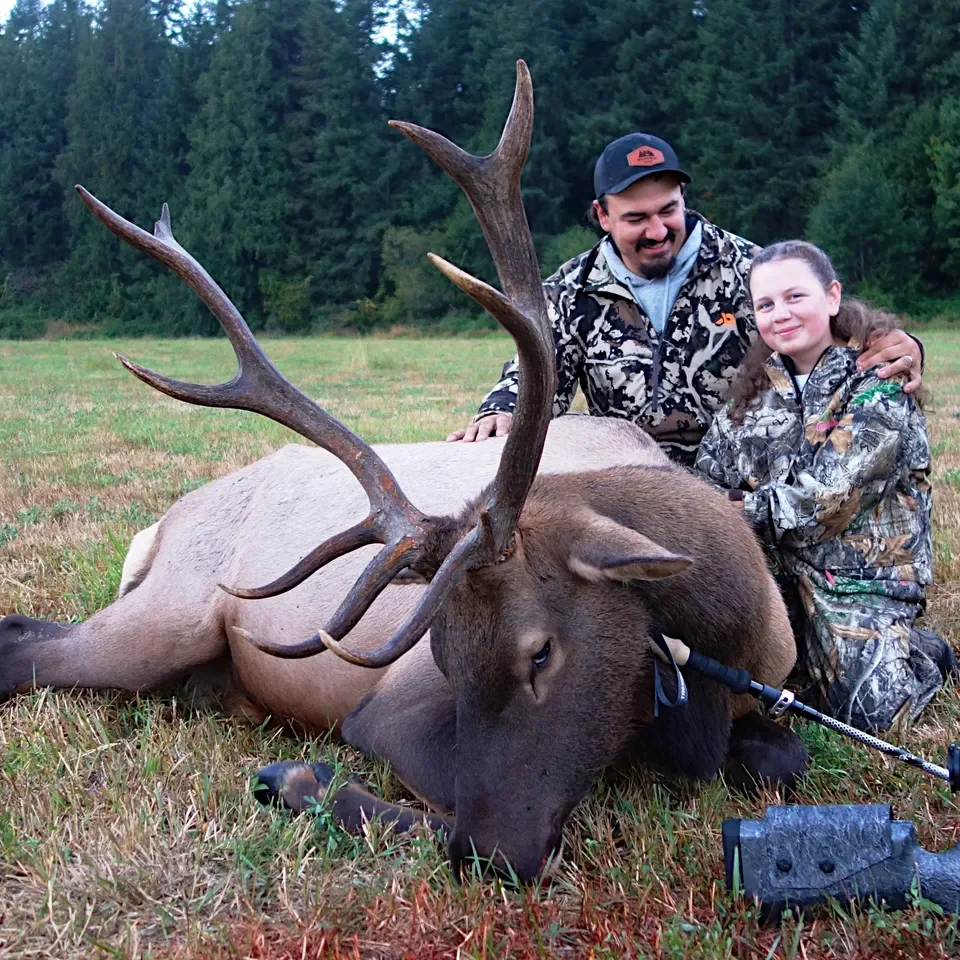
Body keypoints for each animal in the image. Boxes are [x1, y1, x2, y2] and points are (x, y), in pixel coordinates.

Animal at [0, 63, 807, 882]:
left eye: (540, 651)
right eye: (446, 659)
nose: (496, 853)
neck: (735, 633)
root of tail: (160, 525)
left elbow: (783, 759)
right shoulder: (387, 707)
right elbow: (434, 787)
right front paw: (305, 781)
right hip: (172, 612)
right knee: (28, 647)